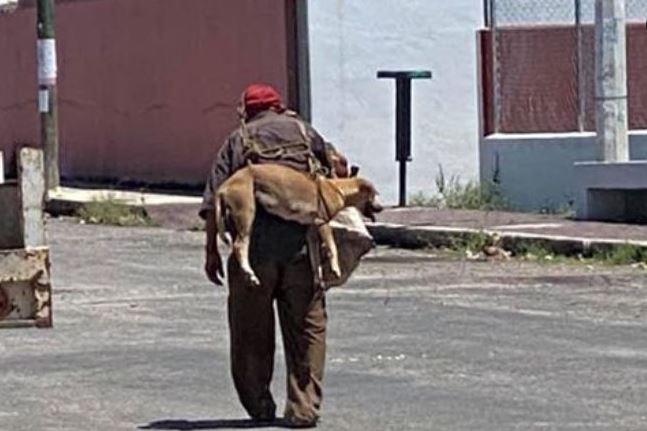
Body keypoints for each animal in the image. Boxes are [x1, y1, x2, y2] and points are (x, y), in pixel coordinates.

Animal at [215, 164, 382, 288]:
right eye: (374, 194)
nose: (381, 208)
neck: (338, 189)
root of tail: (224, 186)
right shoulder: (322, 223)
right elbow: (332, 247)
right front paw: (335, 268)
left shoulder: (312, 231)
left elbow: (315, 258)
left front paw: (318, 278)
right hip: (247, 212)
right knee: (239, 245)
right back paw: (249, 273)